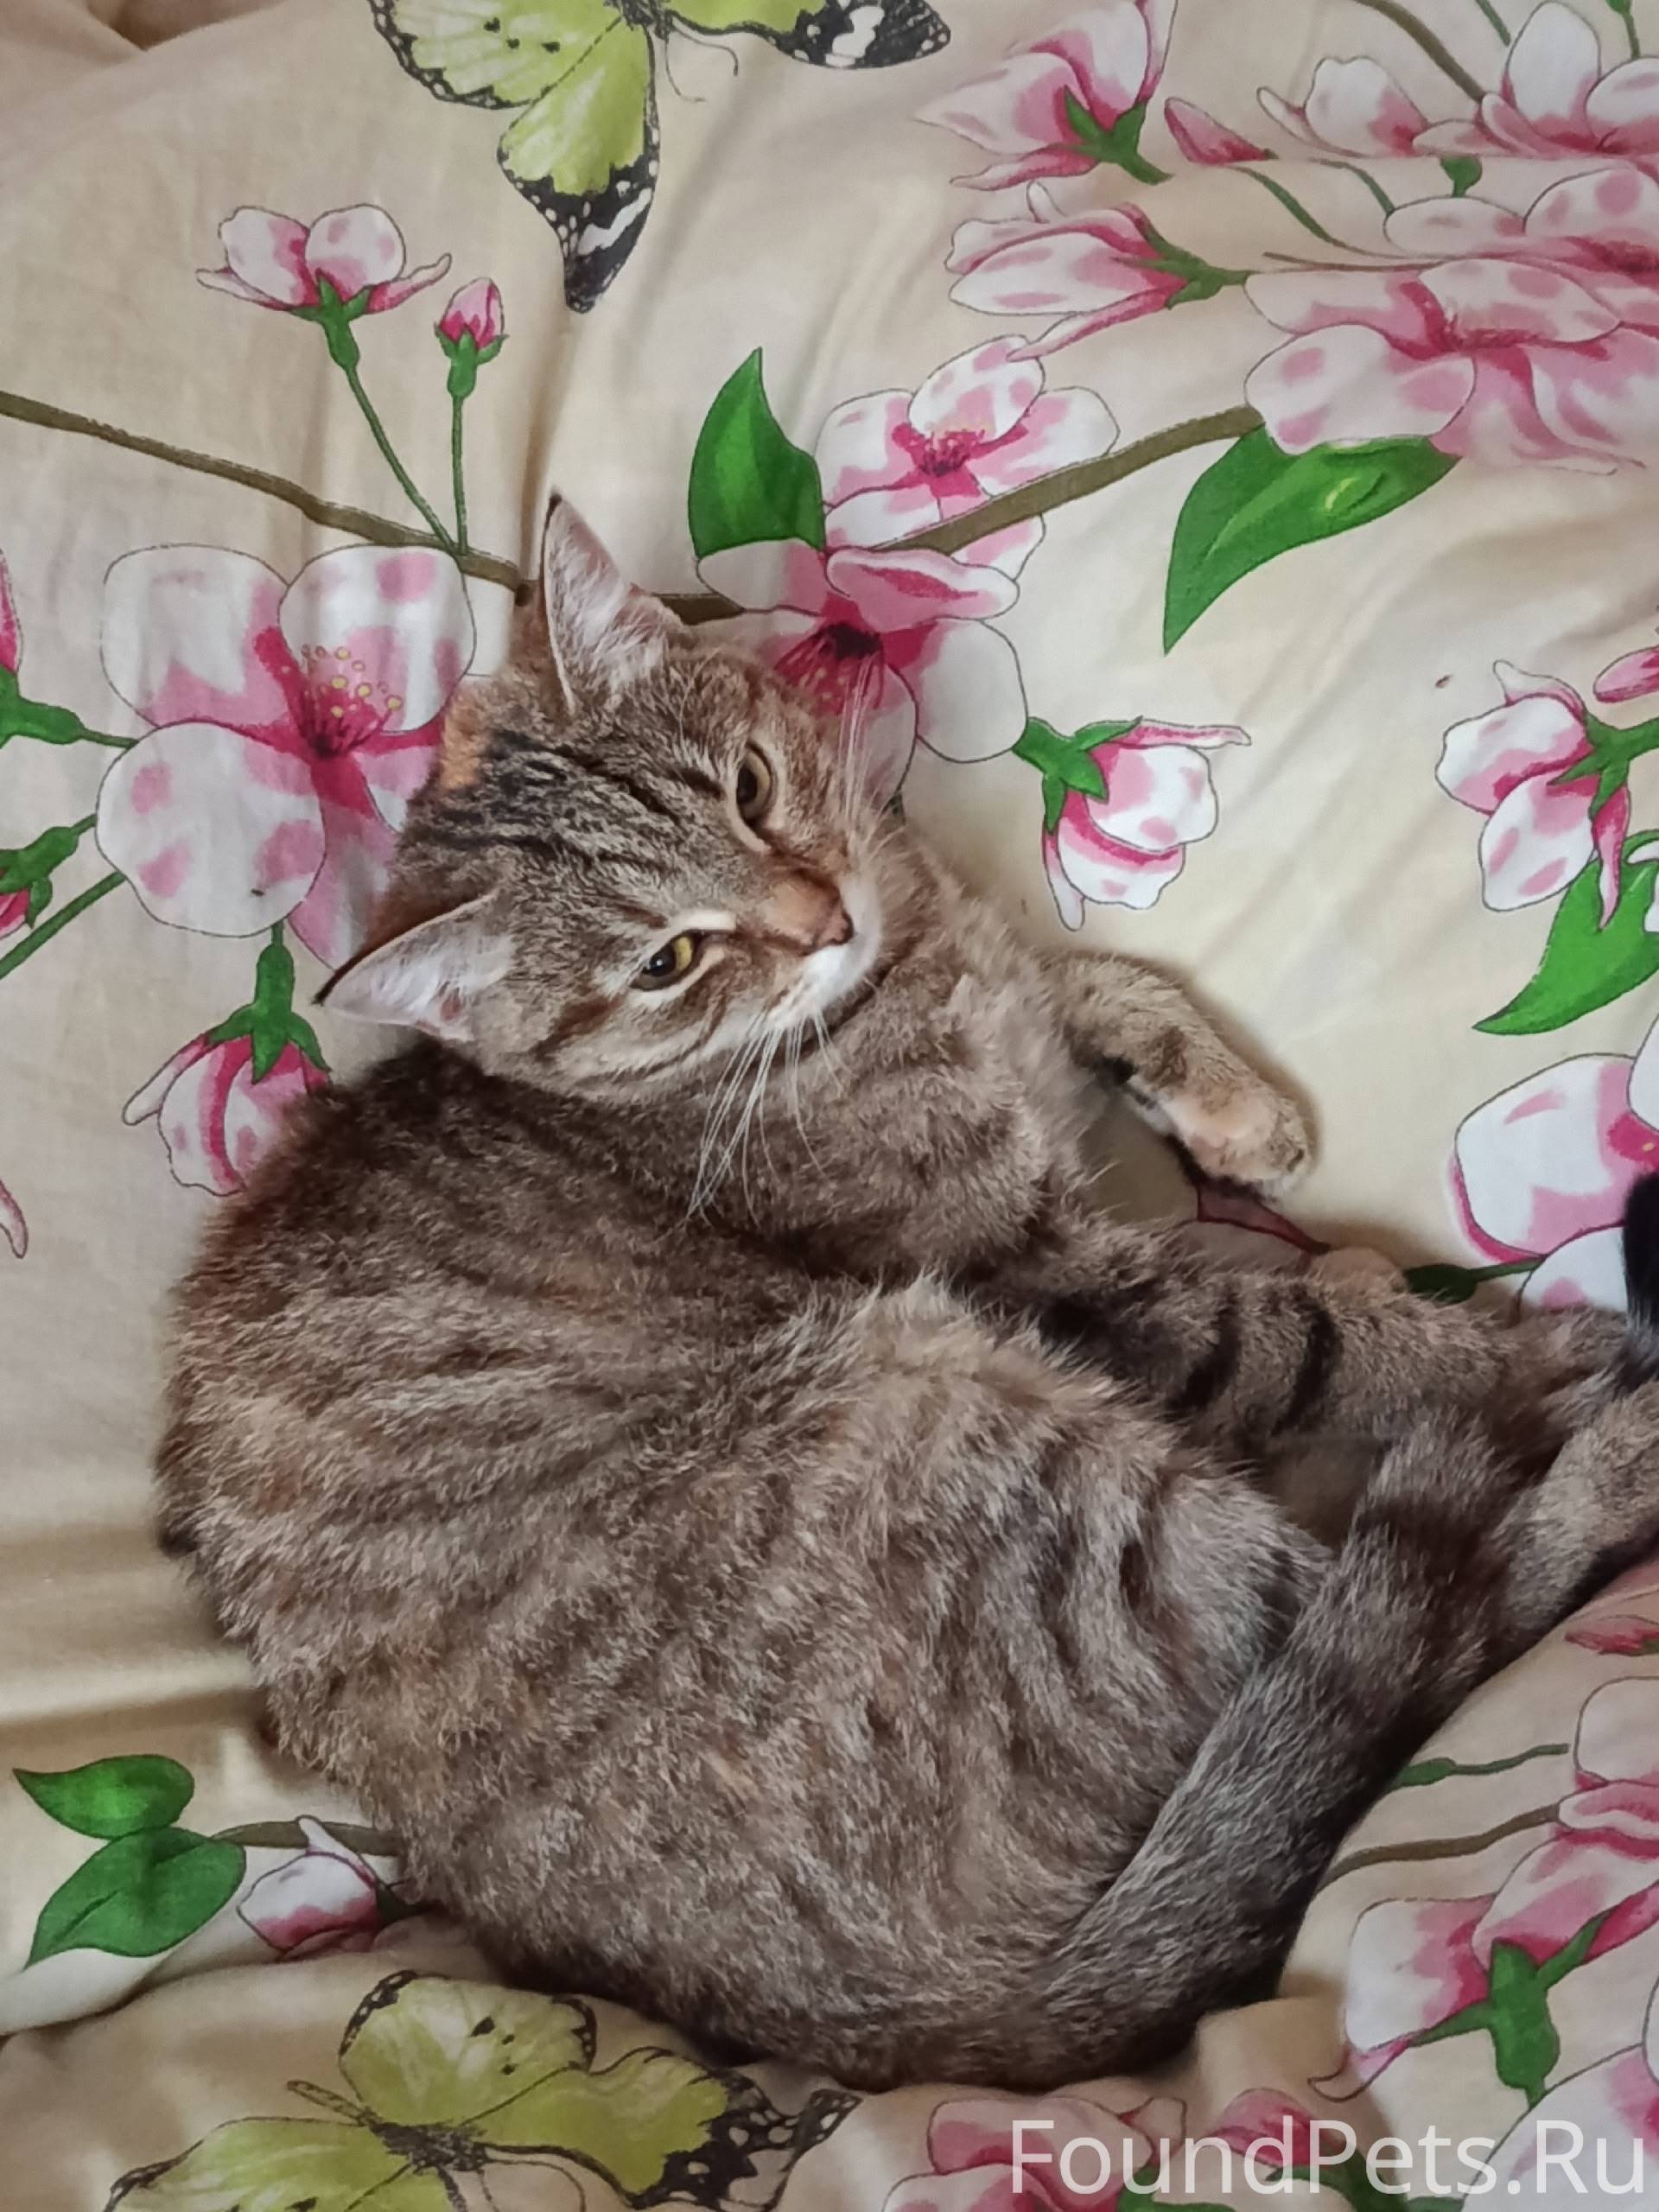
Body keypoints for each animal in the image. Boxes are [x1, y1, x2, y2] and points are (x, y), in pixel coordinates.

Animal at [157, 497, 1659, 2093]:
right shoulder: (1062, 1280)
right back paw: (1593, 1431)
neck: (899, 981)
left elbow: (1092, 979)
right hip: (997, 1438)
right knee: (1427, 1627)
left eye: (751, 789)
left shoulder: (995, 979)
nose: (823, 915)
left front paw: (1233, 1105)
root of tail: (937, 2036)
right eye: (669, 959)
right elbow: (1322, 1344)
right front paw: (1483, 1342)